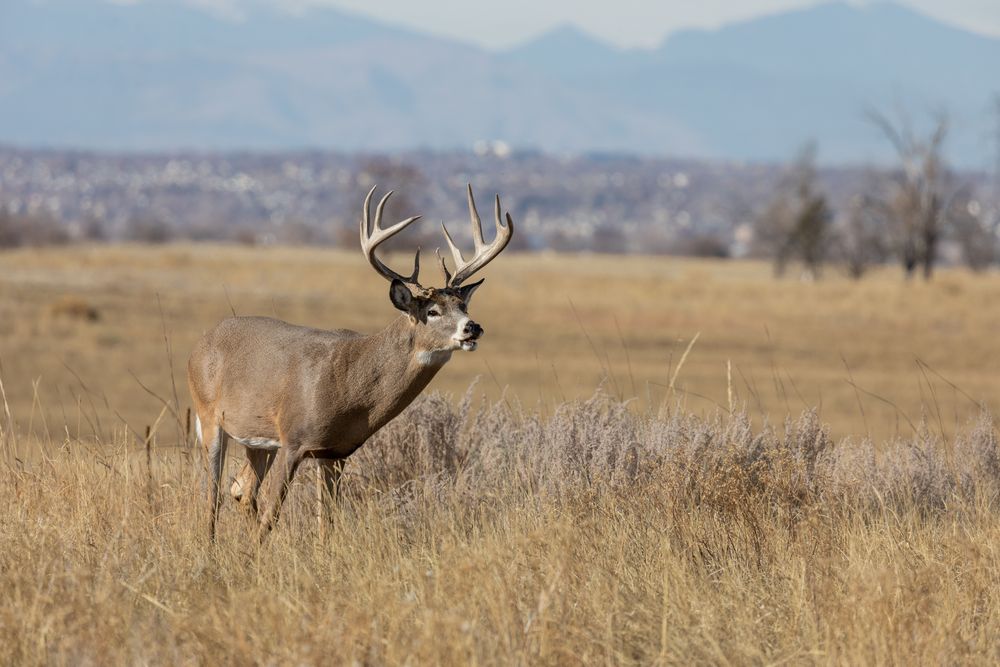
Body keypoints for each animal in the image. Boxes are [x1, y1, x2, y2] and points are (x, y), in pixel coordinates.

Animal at [187, 184, 514, 541]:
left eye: (462, 305)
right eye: (432, 311)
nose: (473, 327)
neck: (350, 385)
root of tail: (200, 343)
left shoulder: (334, 452)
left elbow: (326, 523)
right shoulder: (293, 439)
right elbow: (271, 516)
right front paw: (255, 555)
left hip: (258, 440)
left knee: (240, 489)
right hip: (209, 417)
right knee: (212, 496)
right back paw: (210, 547)